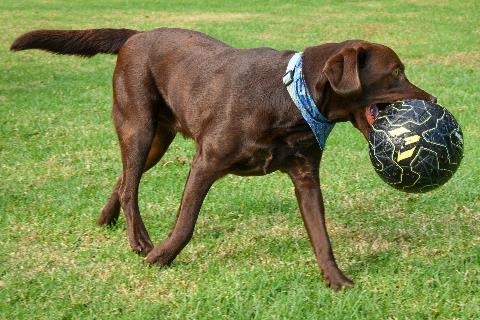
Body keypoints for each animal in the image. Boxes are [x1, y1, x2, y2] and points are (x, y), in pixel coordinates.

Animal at [10, 28, 436, 290]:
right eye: (396, 73)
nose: (432, 98)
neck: (291, 98)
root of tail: (135, 36)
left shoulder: (306, 177)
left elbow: (321, 235)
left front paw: (336, 279)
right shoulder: (206, 162)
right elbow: (185, 224)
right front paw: (161, 258)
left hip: (157, 141)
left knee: (123, 178)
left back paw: (106, 219)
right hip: (138, 126)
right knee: (131, 185)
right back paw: (140, 241)